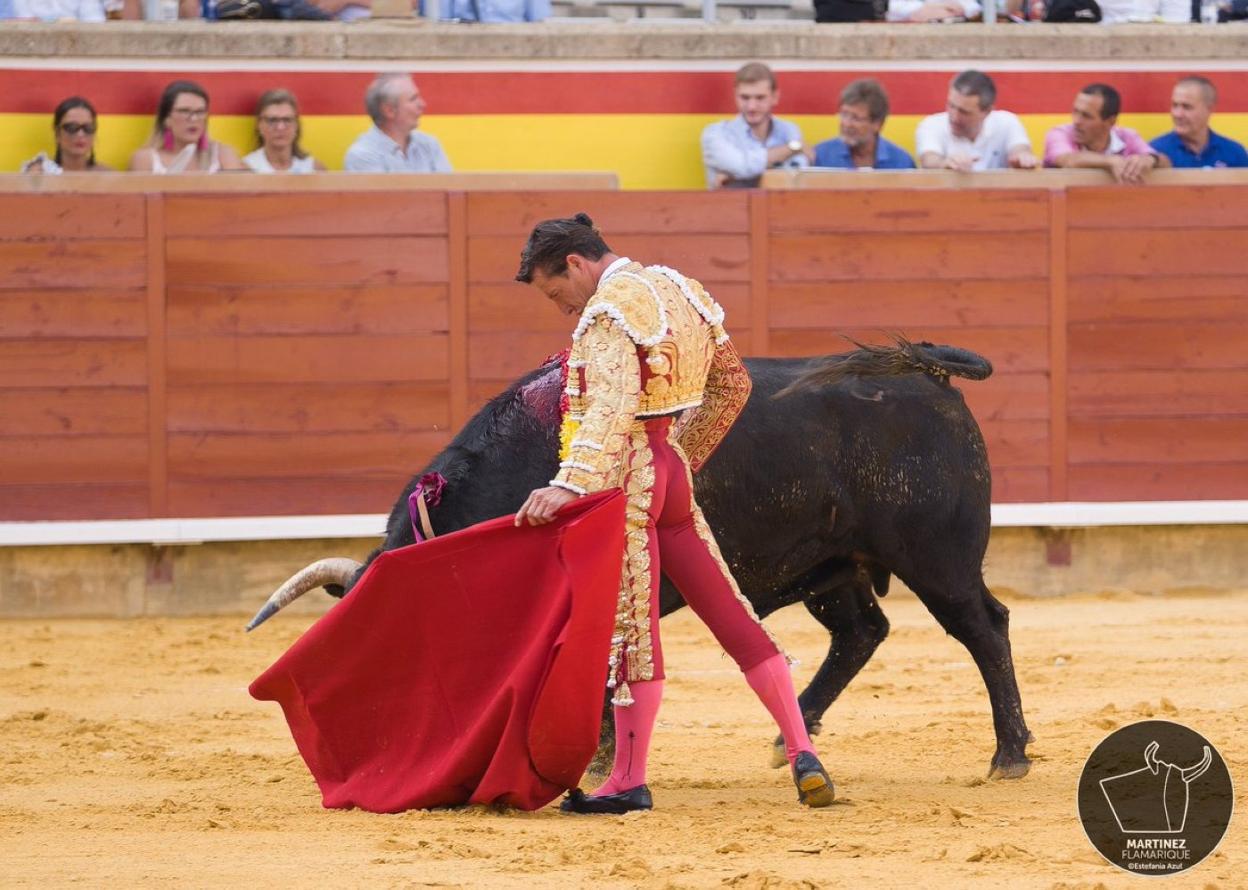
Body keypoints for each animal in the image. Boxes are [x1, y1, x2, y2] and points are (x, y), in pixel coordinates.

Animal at [255, 339, 1033, 778]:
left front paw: (595, 755)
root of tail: (928, 374)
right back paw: (792, 737)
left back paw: (1010, 755)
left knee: (984, 629)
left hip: (938, 559)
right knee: (862, 632)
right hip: (831, 565)